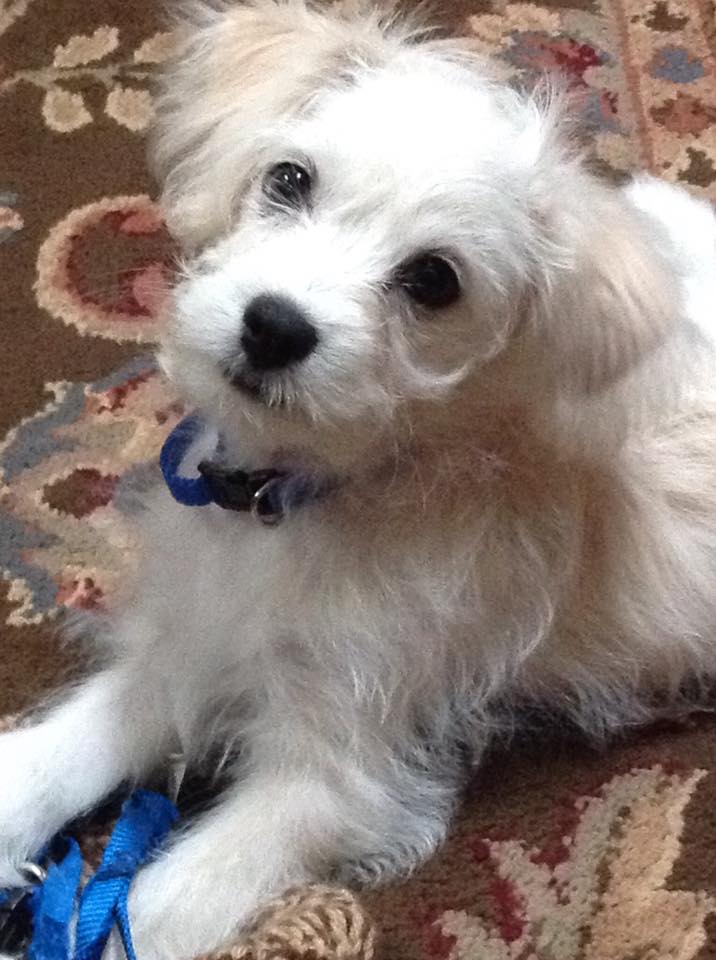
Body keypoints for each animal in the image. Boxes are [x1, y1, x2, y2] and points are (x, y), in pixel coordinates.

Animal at [2, 1, 716, 957]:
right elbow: (66, 750)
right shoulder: (190, 644)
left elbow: (158, 908)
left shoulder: (336, 771)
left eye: (433, 280)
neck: (289, 506)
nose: (273, 327)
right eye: (289, 180)